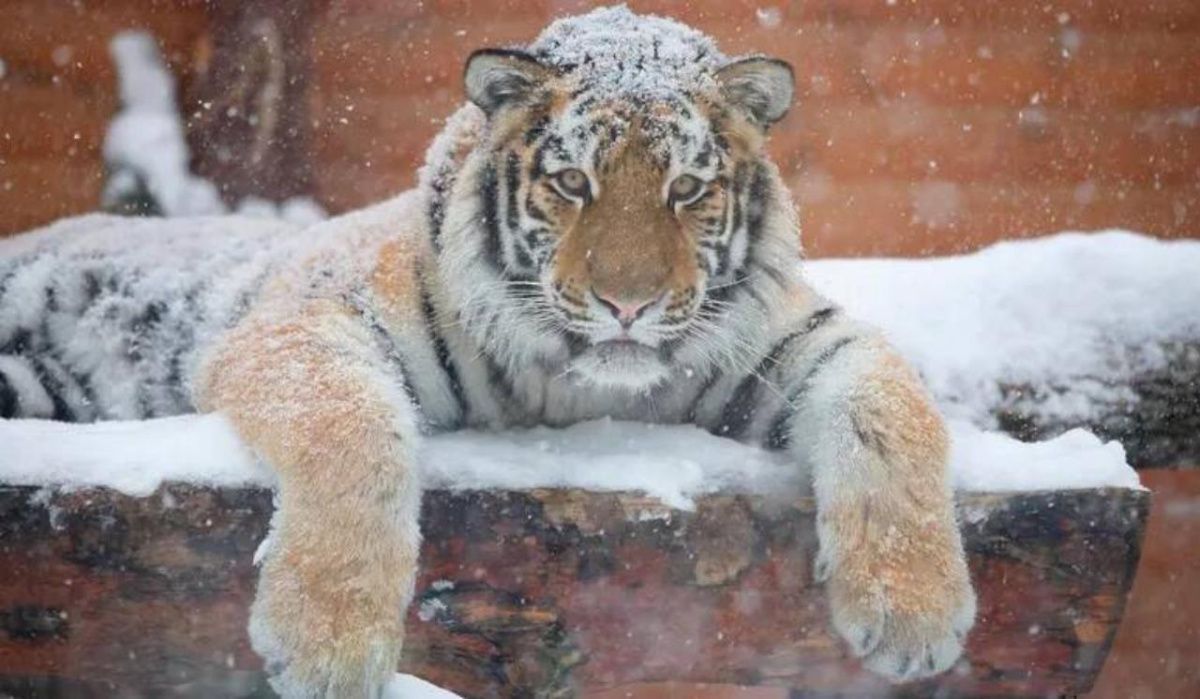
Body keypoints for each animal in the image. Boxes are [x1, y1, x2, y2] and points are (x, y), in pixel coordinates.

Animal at [0, 6, 974, 699]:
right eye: (573, 181)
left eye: (687, 189)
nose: (629, 304)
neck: (575, 385)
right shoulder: (306, 318)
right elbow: (353, 431)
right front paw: (327, 648)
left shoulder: (792, 340)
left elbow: (895, 410)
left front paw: (916, 617)